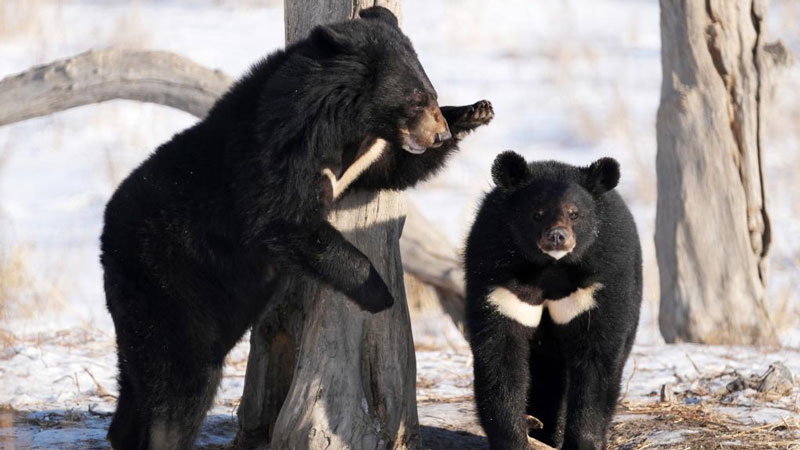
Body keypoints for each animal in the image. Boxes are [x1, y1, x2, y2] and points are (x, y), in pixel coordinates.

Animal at [101, 7, 494, 450]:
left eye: (431, 95)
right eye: (415, 100)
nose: (438, 134)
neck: (344, 124)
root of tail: (107, 239)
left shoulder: (361, 156)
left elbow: (391, 170)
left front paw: (475, 111)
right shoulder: (277, 150)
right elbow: (285, 218)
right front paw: (379, 292)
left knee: (138, 378)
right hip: (173, 285)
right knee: (180, 380)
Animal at [462, 152, 644, 450]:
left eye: (575, 213)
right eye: (537, 213)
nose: (557, 236)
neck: (550, 268)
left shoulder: (601, 279)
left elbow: (596, 360)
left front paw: (583, 442)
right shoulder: (497, 280)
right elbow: (499, 354)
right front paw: (514, 438)